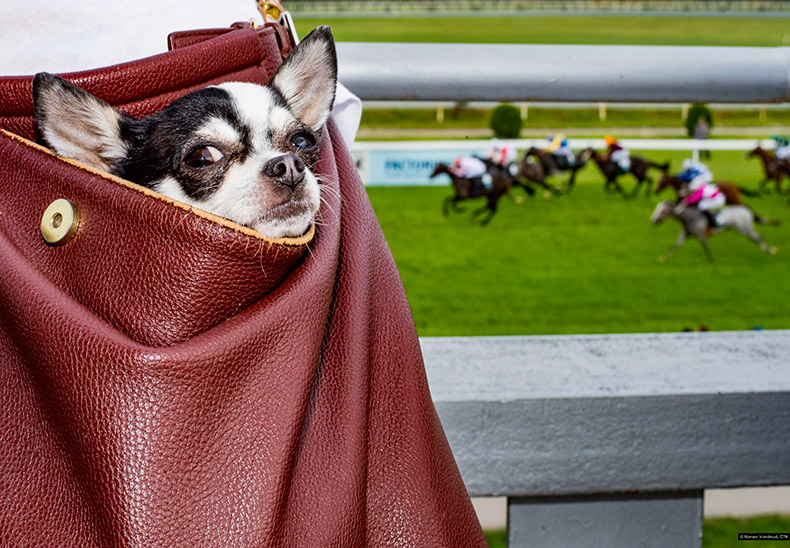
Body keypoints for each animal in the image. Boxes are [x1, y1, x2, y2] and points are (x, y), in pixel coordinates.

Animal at [648, 200, 780, 262]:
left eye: (662, 210)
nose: (654, 220)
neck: (690, 217)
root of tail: (747, 209)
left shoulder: (700, 234)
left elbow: (706, 247)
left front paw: (711, 260)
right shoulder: (685, 234)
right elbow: (675, 246)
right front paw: (663, 258)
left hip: (745, 229)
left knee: (758, 237)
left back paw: (770, 250)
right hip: (745, 230)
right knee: (756, 238)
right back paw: (767, 249)